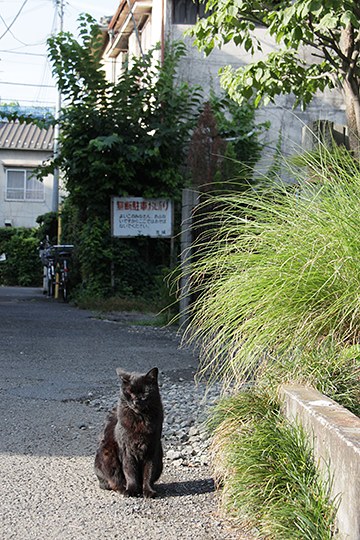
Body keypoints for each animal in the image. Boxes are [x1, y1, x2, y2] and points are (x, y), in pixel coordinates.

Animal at [95, 368, 164, 498]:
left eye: (145, 393)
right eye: (130, 392)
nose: (136, 401)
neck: (141, 419)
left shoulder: (152, 450)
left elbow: (148, 473)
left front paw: (148, 491)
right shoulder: (127, 450)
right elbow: (130, 472)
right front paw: (131, 490)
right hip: (107, 455)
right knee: (112, 481)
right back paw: (123, 489)